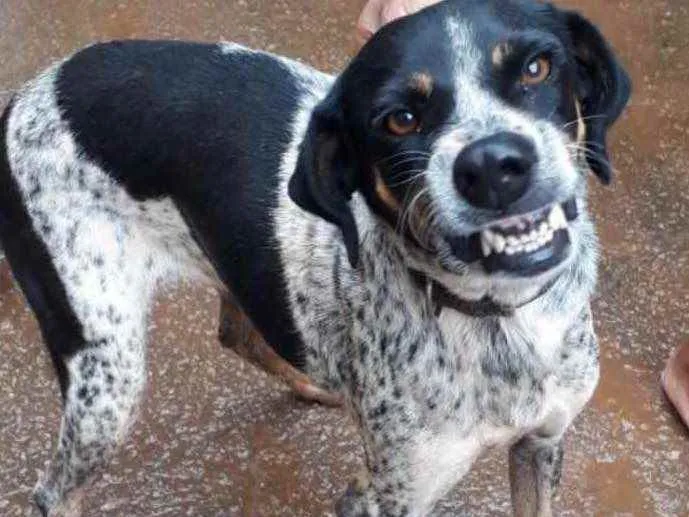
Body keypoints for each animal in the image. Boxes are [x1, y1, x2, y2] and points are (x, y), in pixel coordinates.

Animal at [0, 0, 628, 512]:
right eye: (400, 119)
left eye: (536, 69)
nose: (493, 167)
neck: (502, 322)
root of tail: (24, 96)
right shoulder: (385, 498)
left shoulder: (540, 445)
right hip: (107, 379)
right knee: (52, 492)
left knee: (240, 329)